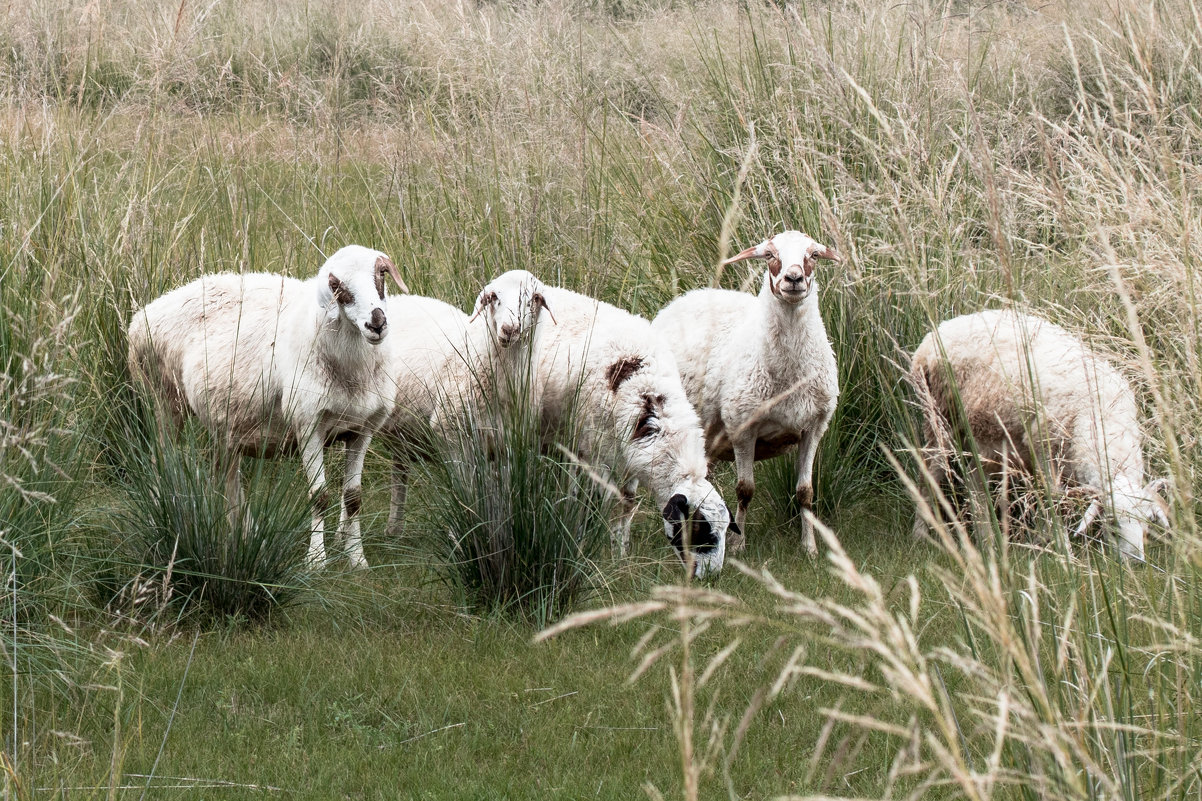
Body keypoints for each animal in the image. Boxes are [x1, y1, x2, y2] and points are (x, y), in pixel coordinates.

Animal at [128, 242, 408, 567]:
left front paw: (357, 559)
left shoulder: (362, 429)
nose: (376, 323)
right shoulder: (308, 425)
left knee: (226, 476)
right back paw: (163, 522)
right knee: (162, 462)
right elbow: (319, 497)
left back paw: (246, 535)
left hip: (225, 423)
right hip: (164, 401)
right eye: (336, 286)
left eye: (381, 273)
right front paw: (316, 561)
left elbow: (353, 498)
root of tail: (143, 314)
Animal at [653, 227, 841, 553]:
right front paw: (739, 543)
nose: (794, 278)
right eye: (769, 255)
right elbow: (745, 490)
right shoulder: (742, 427)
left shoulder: (814, 427)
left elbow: (805, 491)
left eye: (814, 255)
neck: (789, 374)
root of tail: (688, 296)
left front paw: (810, 547)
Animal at [908, 307, 1163, 558]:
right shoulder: (1046, 453)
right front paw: (1064, 552)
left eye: (1147, 521)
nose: (1136, 561)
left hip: (991, 439)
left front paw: (1041, 540)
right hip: (939, 418)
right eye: (1113, 522)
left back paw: (987, 540)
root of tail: (941, 328)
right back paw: (921, 533)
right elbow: (1054, 500)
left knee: (973, 481)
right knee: (929, 473)